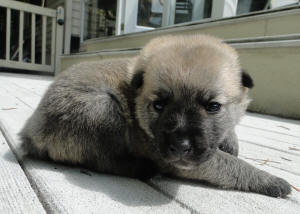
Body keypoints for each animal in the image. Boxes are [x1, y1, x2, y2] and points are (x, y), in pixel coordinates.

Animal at [20, 34, 290, 197]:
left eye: (213, 106)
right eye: (159, 105)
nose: (180, 147)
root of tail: (29, 132)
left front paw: (230, 140)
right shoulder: (184, 162)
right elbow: (232, 166)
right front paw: (271, 180)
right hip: (102, 107)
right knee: (106, 160)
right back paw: (143, 168)